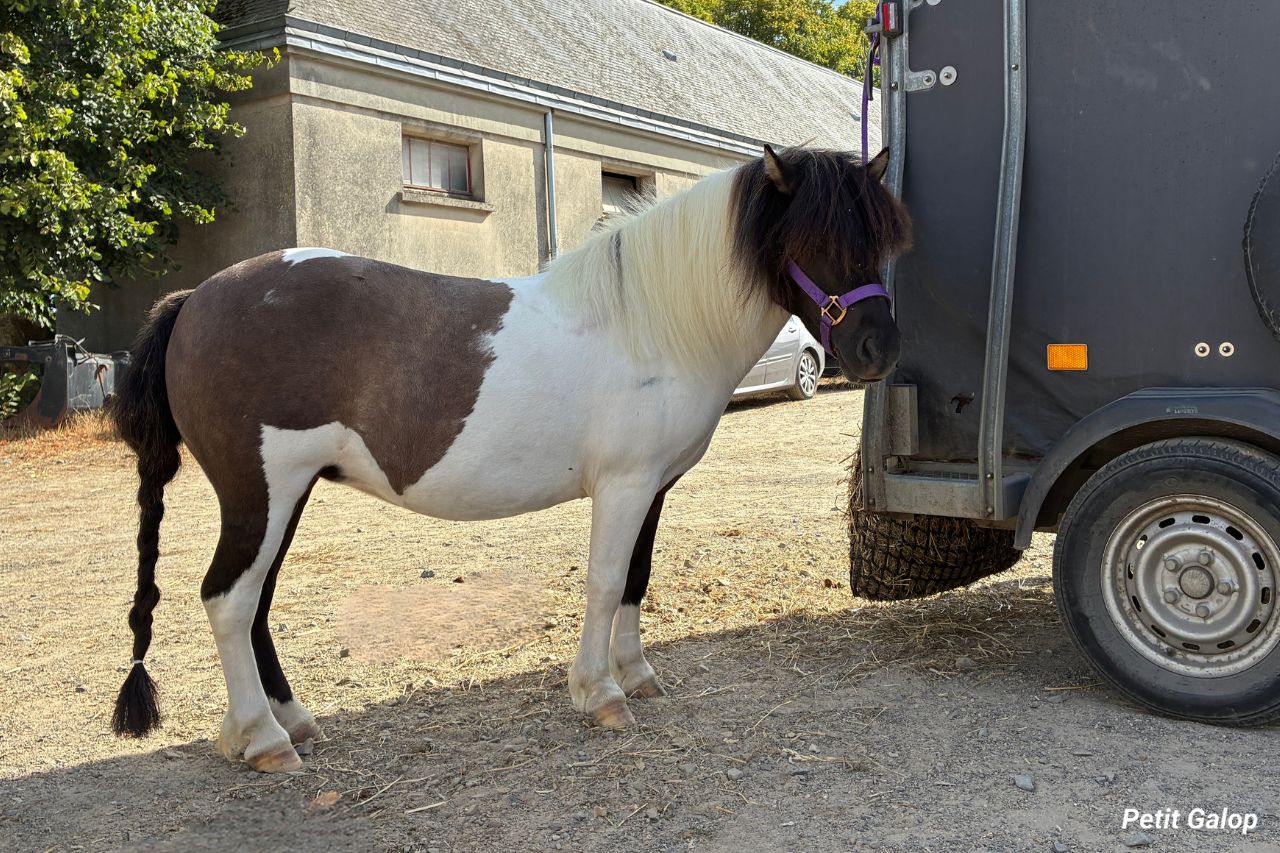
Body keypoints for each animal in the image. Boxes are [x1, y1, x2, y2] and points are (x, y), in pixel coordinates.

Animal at [108, 145, 912, 773]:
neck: (650, 322)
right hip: (261, 491)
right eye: (812, 238)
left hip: (287, 493)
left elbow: (636, 579)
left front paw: (638, 674)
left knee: (256, 601)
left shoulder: (653, 487)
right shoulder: (623, 485)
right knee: (228, 599)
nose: (879, 349)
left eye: (875, 239)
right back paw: (264, 739)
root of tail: (194, 300)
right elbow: (605, 581)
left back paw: (288, 722)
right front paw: (601, 694)